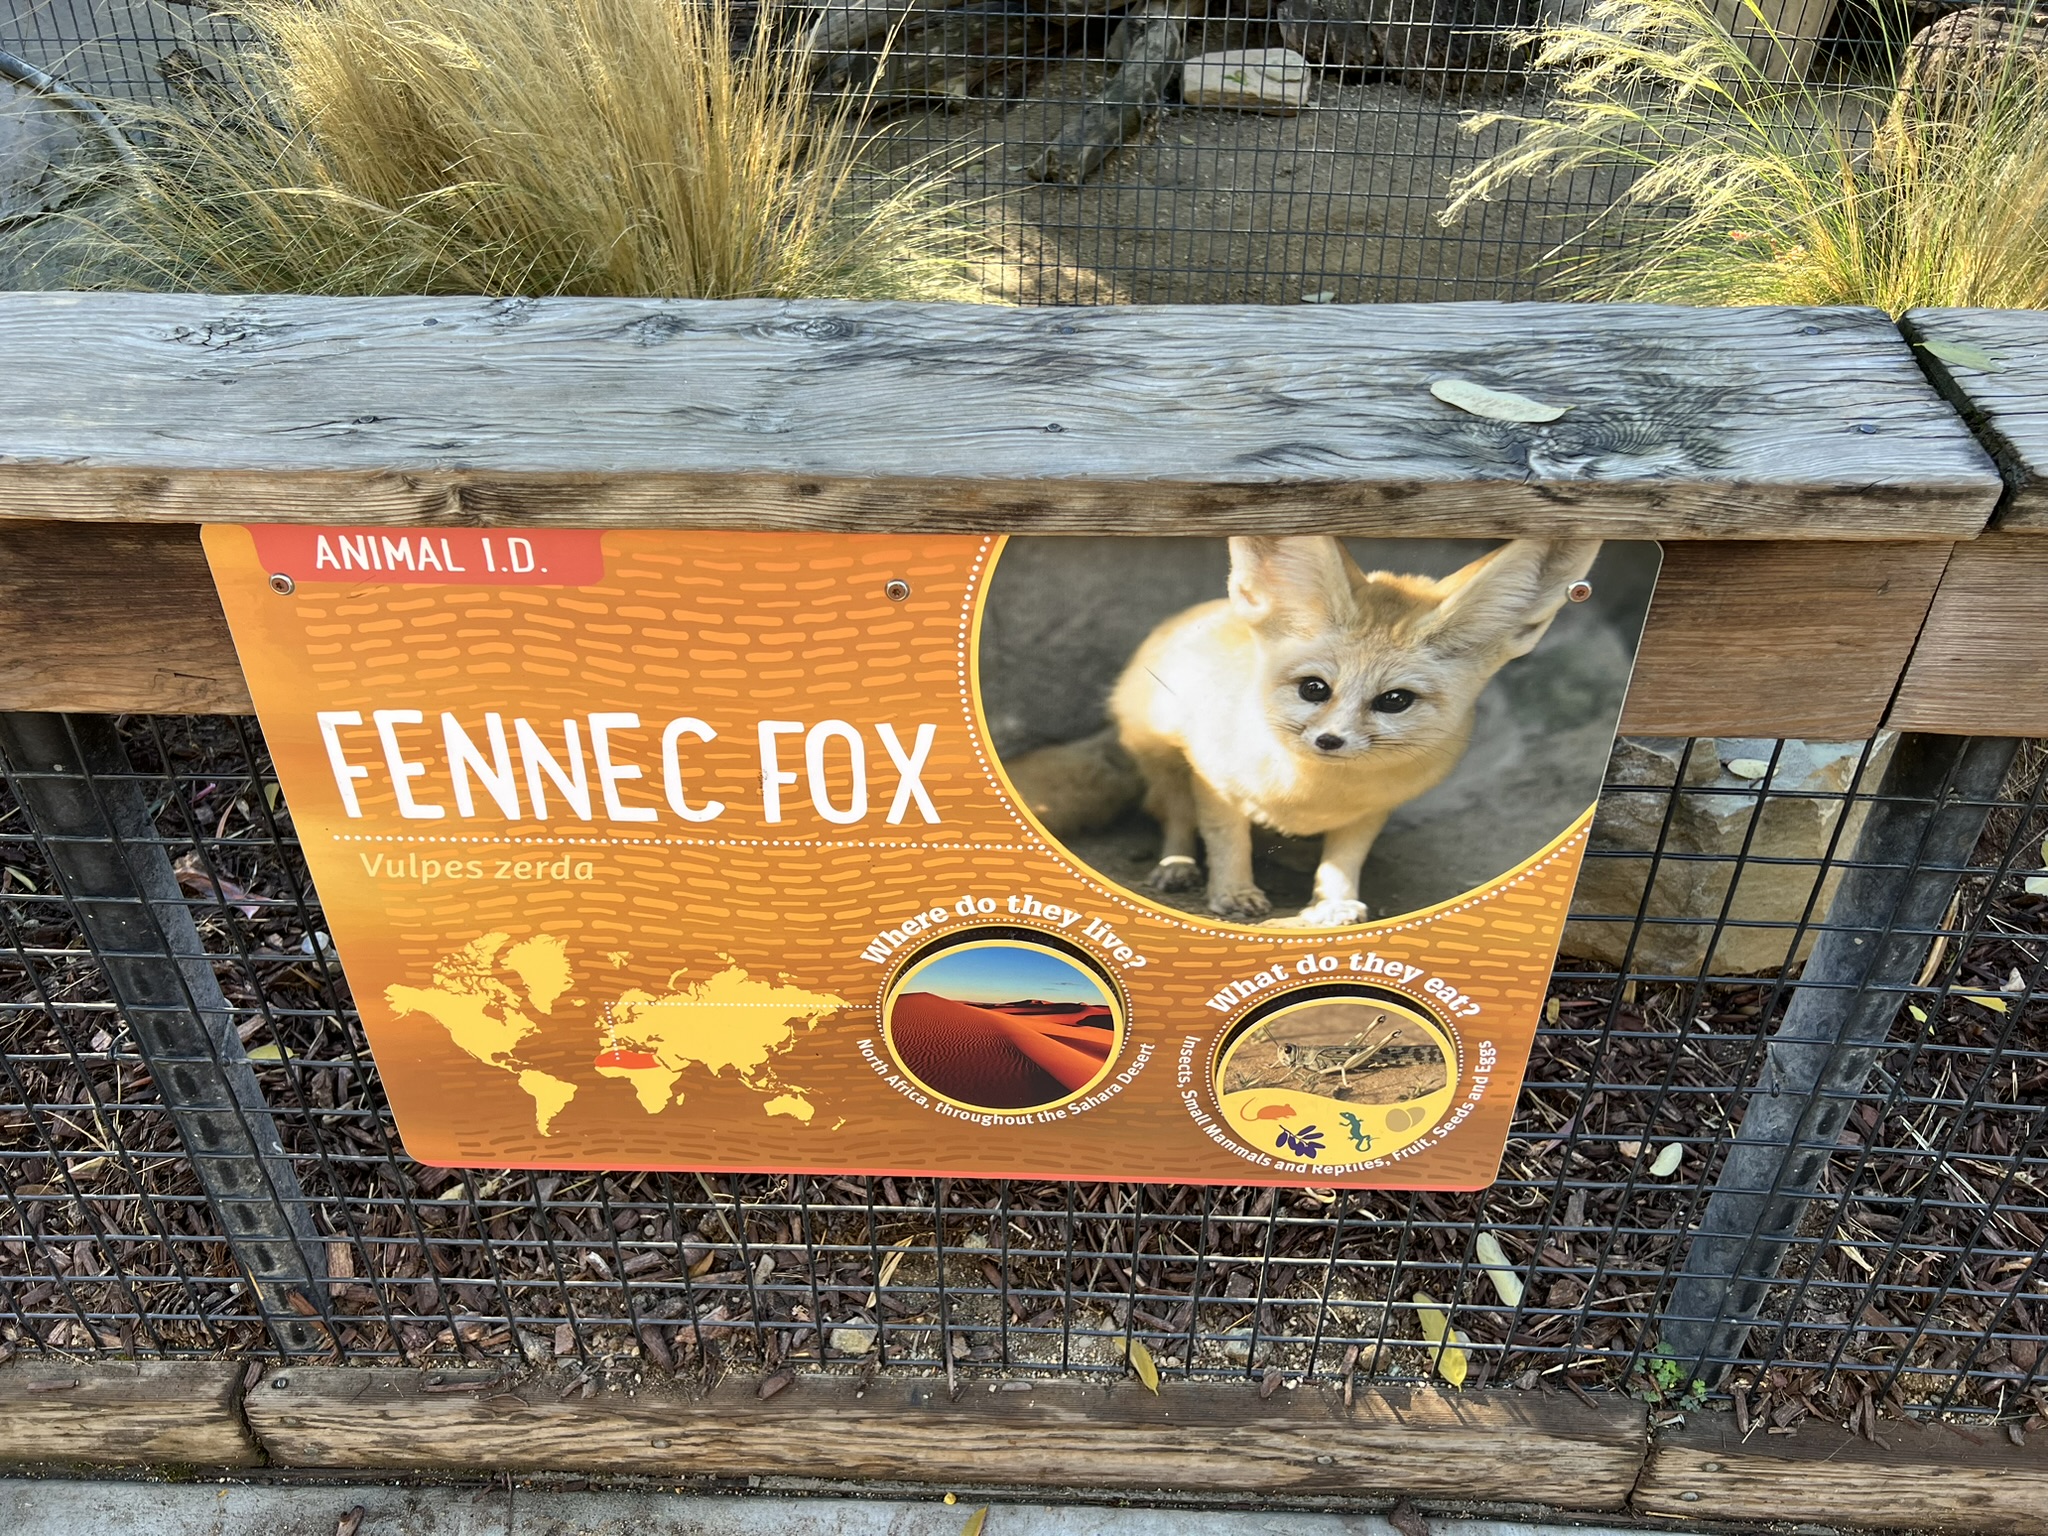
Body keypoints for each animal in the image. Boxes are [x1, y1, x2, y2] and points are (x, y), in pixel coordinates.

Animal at [1108, 535, 1601, 927]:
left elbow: (1345, 859)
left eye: (1395, 700)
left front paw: (1334, 902)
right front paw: (1233, 891)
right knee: (1173, 814)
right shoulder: (1216, 785)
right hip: (1162, 760)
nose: (1330, 740)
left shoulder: (1372, 811)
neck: (1314, 794)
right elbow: (1227, 840)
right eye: (1314, 689)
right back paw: (1177, 864)